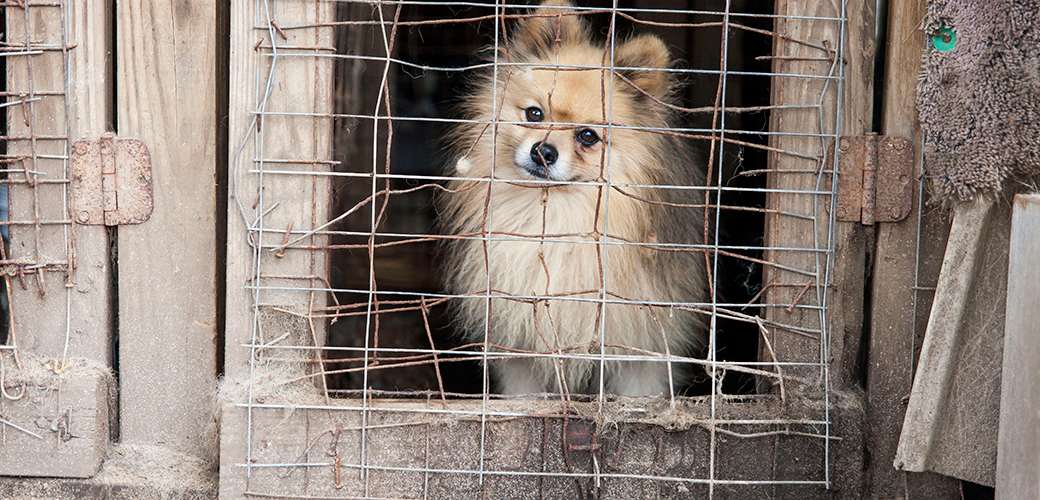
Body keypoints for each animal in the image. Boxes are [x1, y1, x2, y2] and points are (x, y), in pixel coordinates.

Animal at [434, 0, 711, 397]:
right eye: (534, 114)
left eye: (588, 136)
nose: (543, 151)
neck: (555, 219)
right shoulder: (521, 352)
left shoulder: (641, 355)